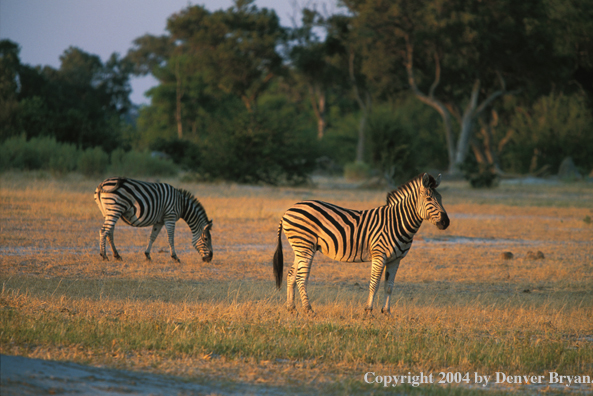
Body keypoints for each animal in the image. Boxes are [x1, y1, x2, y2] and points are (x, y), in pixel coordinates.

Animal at [272, 173, 448, 316]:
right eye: (429, 199)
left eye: (440, 198)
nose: (446, 222)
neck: (396, 223)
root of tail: (289, 210)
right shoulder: (379, 255)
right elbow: (374, 284)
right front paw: (369, 311)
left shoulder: (396, 259)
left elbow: (389, 286)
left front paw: (387, 312)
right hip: (305, 247)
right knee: (301, 277)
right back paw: (308, 310)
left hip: (300, 249)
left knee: (291, 275)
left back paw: (292, 308)